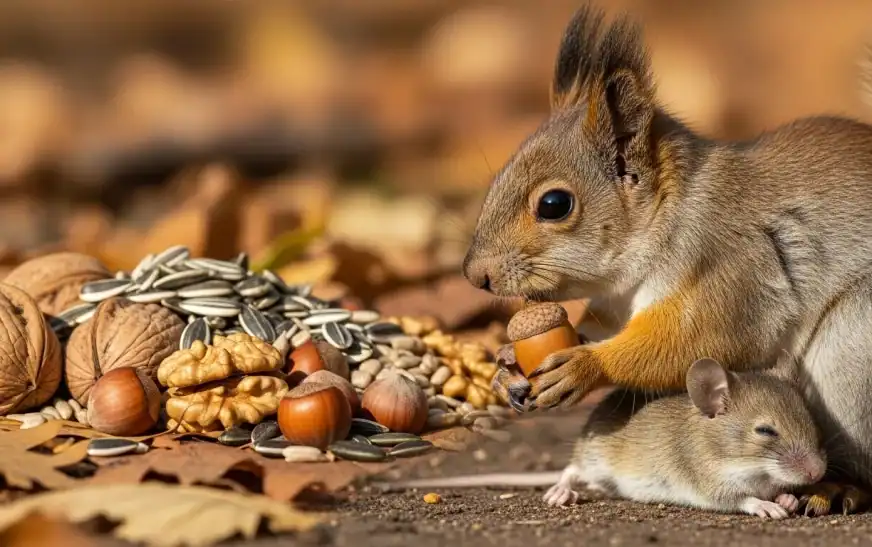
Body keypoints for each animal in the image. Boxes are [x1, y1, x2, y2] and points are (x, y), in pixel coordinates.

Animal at [462, 5, 872, 515]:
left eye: (554, 204)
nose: (474, 275)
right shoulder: (618, 303)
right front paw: (505, 364)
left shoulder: (735, 264)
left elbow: (700, 338)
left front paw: (585, 365)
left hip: (851, 353)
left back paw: (835, 488)